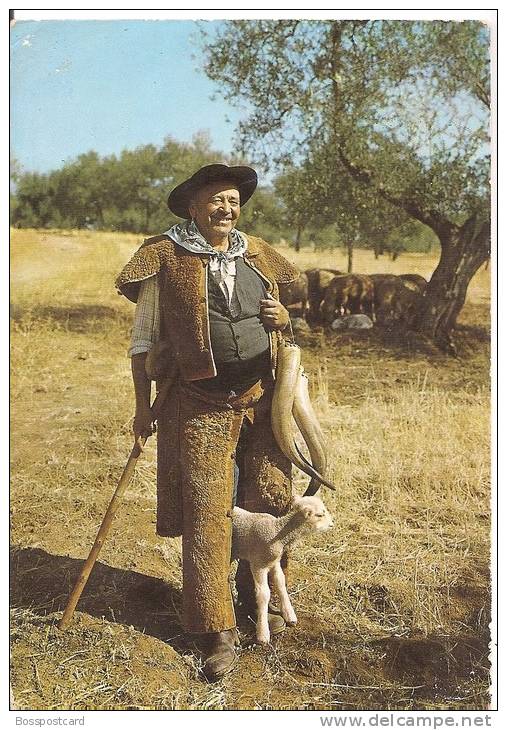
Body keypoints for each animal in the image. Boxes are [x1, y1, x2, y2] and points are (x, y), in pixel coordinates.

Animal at [232, 494, 336, 644]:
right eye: (320, 514)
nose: (332, 524)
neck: (278, 532)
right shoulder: (258, 564)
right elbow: (264, 594)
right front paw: (263, 633)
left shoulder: (274, 561)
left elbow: (281, 582)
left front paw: (289, 614)